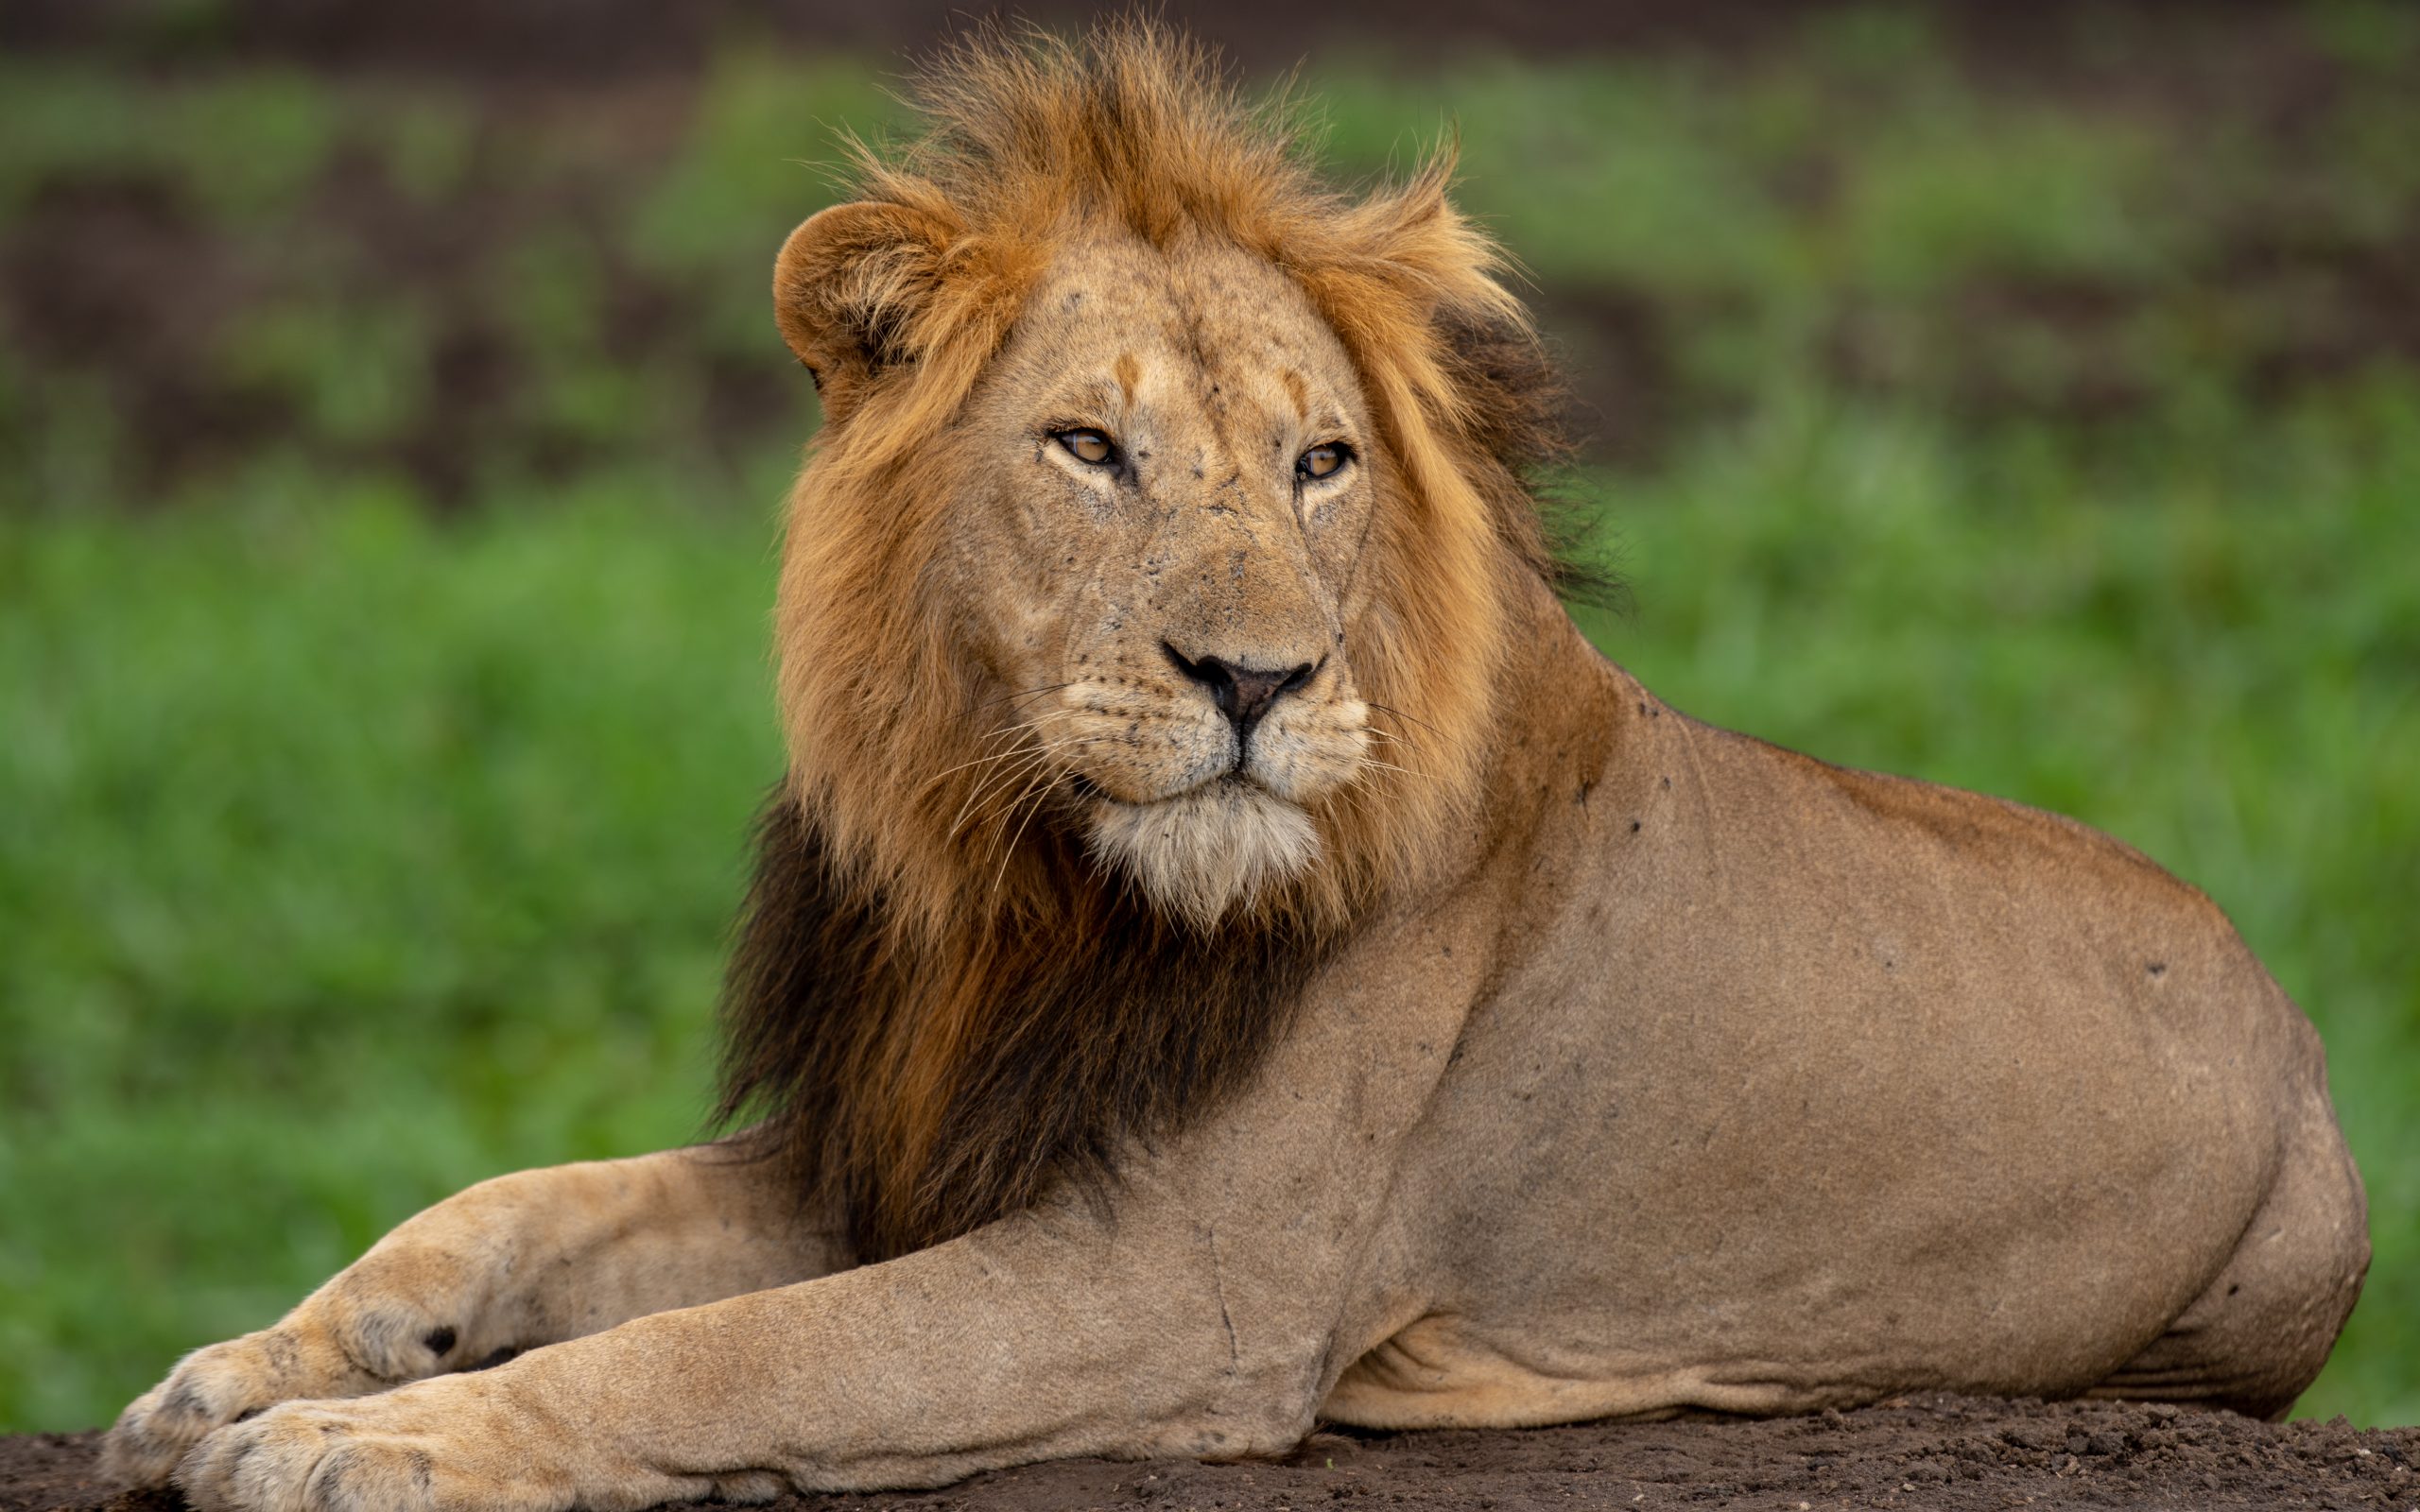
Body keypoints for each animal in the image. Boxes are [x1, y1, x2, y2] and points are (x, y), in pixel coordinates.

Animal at [106, 22, 2367, 1512]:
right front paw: (249, 1368)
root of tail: (2303, 1034)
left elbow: (718, 1349)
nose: (1258, 676)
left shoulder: (1180, 1289)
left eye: (1320, 462)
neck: (1021, 871)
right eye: (1088, 449)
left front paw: (373, 1437)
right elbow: (525, 1206)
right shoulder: (894, 1141)